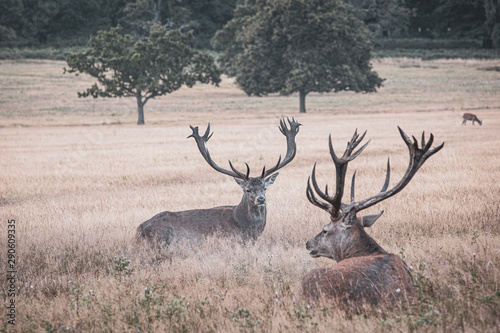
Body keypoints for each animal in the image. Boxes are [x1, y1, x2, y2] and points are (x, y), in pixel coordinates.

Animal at [136, 116, 300, 244]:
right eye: (247, 190)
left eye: (265, 187)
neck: (245, 227)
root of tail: (140, 229)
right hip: (164, 236)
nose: (260, 199)